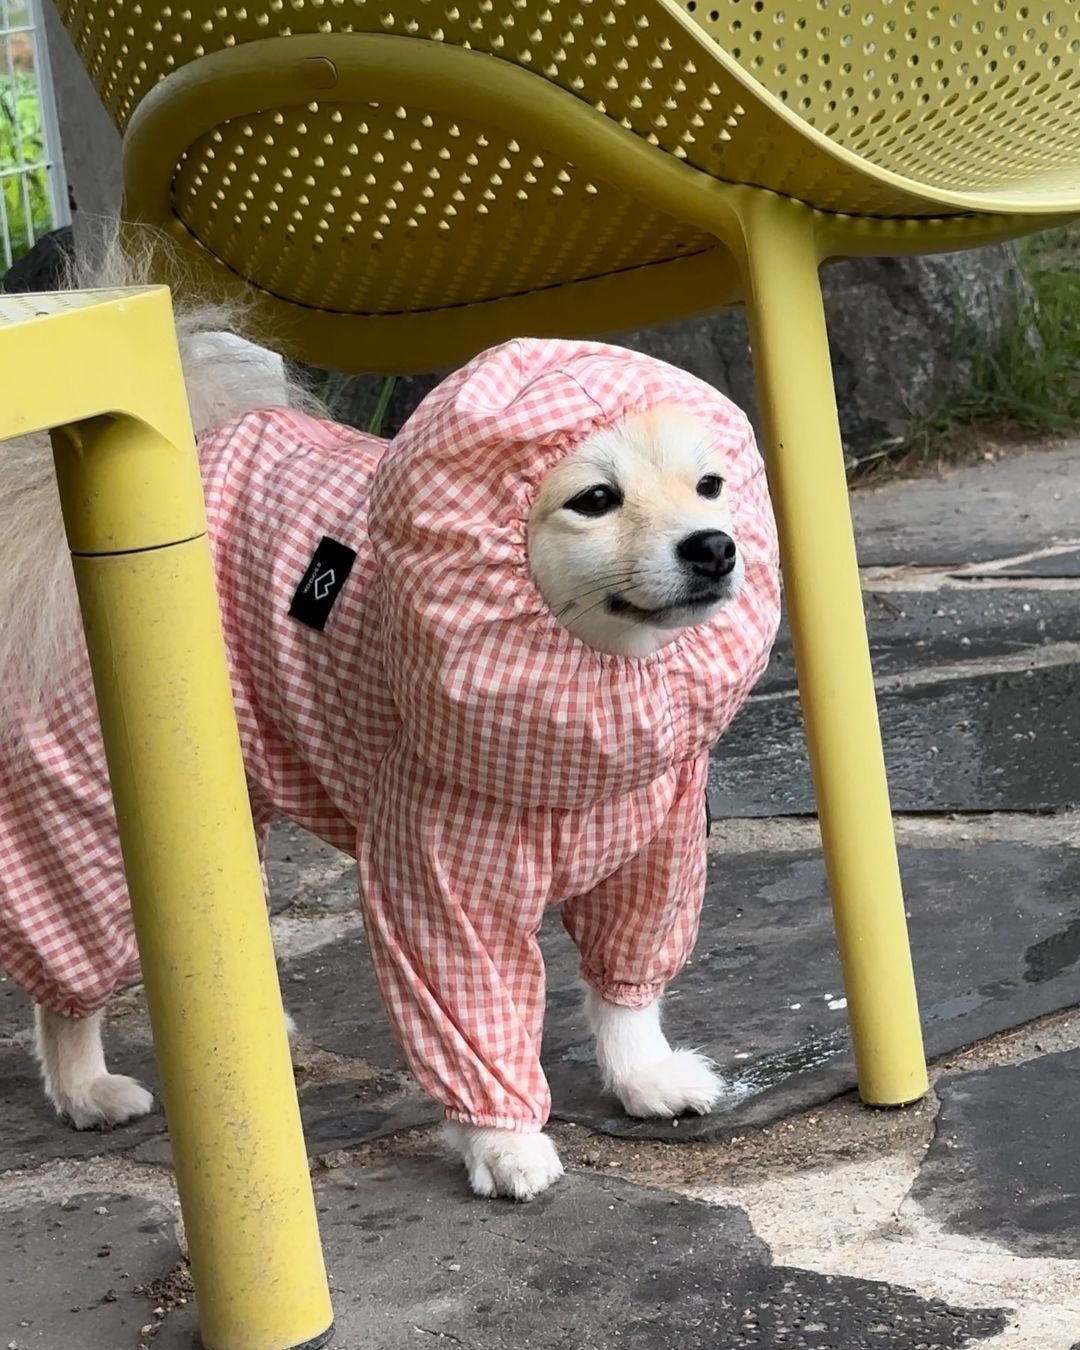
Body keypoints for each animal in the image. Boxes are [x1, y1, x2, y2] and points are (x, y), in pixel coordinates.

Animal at [0, 237, 780, 1201]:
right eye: (596, 500)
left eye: (710, 486)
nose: (714, 547)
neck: (589, 691)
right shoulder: (438, 882)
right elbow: (474, 1021)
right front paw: (503, 1144)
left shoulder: (652, 856)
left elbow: (625, 988)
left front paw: (645, 1077)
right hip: (91, 807)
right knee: (65, 962)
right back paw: (85, 1088)